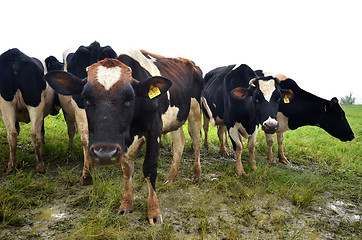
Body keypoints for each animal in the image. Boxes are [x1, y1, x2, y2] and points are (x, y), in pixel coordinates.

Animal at [45, 58, 173, 225]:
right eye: (86, 98)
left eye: (130, 98)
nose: (104, 154)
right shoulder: (122, 144)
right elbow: (127, 170)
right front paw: (126, 204)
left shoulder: (154, 129)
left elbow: (150, 169)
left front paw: (154, 212)